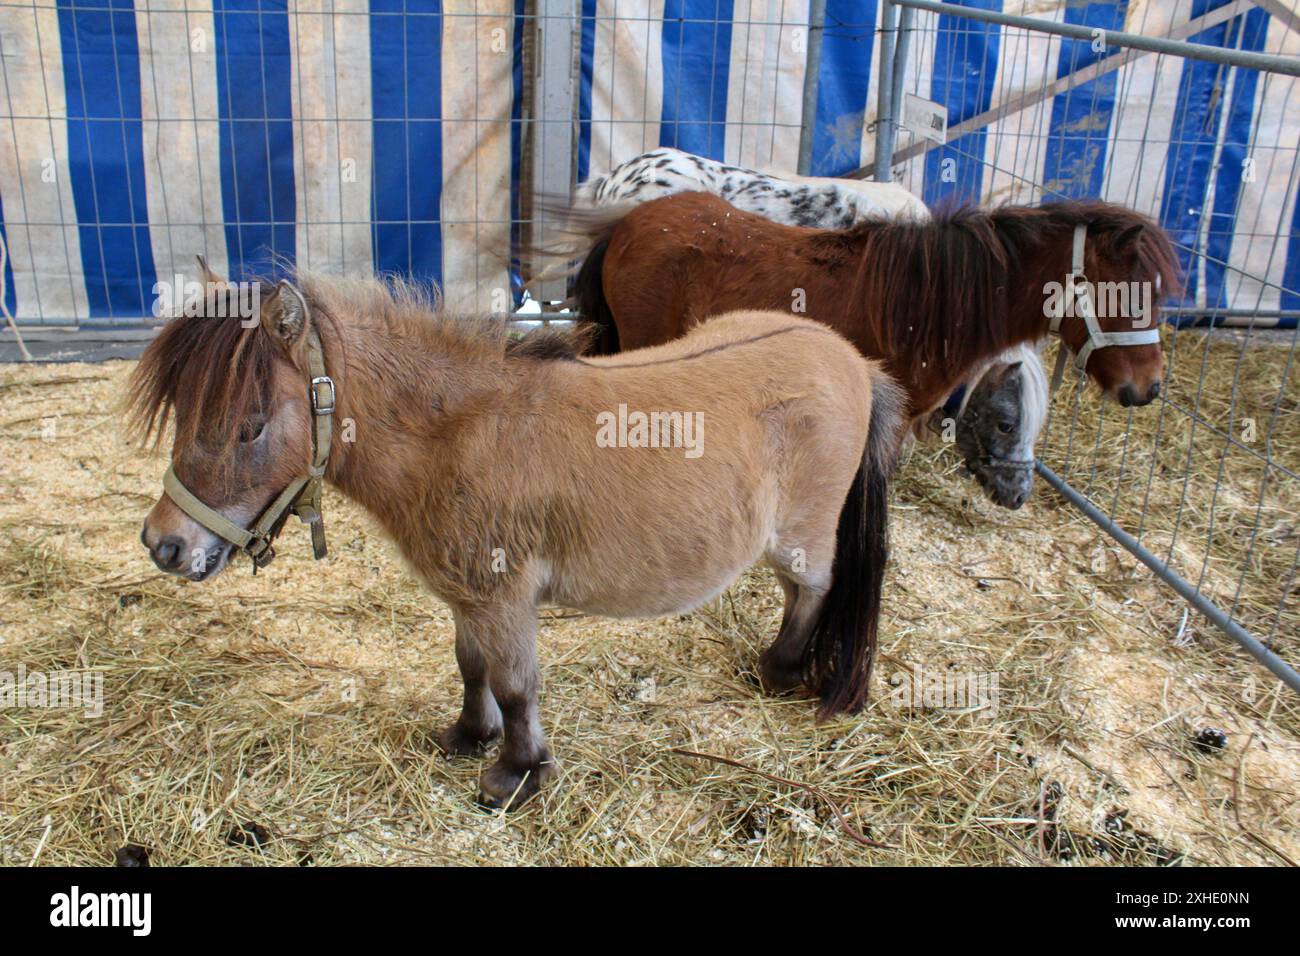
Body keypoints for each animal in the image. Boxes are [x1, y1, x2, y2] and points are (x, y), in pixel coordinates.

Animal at [129, 268, 905, 808]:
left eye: (250, 425)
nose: (164, 545)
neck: (456, 434)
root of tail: (852, 361)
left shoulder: (503, 598)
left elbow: (515, 683)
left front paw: (516, 774)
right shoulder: (469, 598)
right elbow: (472, 667)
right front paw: (471, 737)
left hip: (802, 535)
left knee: (813, 588)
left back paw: (780, 668)